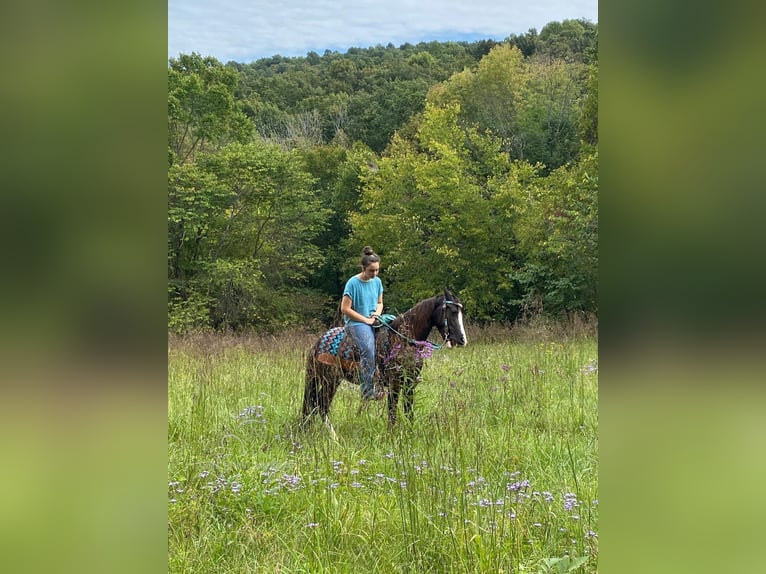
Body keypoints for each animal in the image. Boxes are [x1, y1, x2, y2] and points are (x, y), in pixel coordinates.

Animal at [300, 288, 468, 432]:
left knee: (315, 406)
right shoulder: (395, 382)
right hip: (329, 379)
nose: (462, 340)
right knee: (320, 406)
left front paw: (409, 433)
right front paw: (391, 436)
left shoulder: (410, 382)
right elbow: (392, 412)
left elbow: (408, 410)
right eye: (453, 311)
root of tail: (318, 343)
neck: (403, 340)